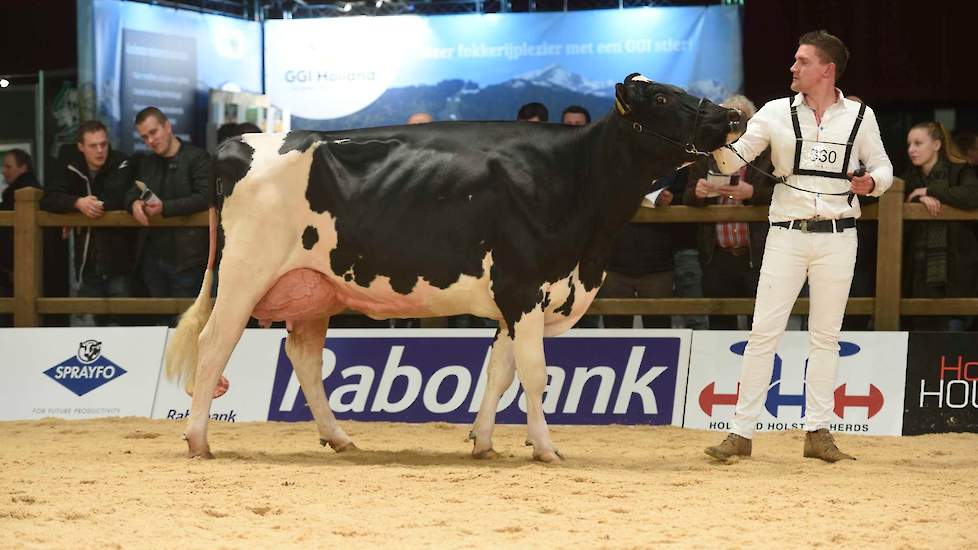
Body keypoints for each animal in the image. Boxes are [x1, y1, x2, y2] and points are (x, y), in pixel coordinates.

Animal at [166, 73, 740, 462]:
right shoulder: (523, 288)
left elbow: (500, 372)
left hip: (315, 289)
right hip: (244, 274)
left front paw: (483, 442)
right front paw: (546, 447)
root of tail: (238, 143)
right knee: (214, 344)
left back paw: (340, 437)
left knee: (303, 357)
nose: (731, 117)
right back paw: (198, 440)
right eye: (662, 98)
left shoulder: (515, 301)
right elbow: (534, 374)